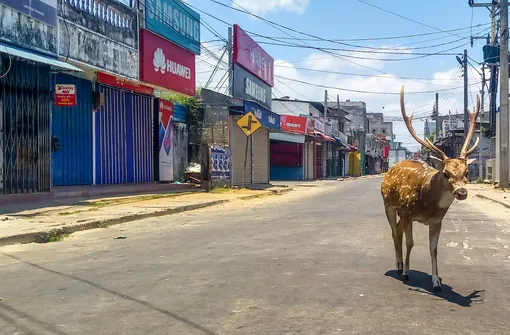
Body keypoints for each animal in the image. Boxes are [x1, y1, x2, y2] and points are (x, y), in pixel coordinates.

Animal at [380, 85, 480, 292]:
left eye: (466, 172)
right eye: (446, 173)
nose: (461, 192)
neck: (427, 205)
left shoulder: (437, 221)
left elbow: (433, 249)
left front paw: (436, 282)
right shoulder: (408, 213)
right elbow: (410, 242)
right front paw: (407, 273)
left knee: (398, 230)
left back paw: (400, 264)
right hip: (389, 205)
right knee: (395, 232)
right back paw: (398, 266)